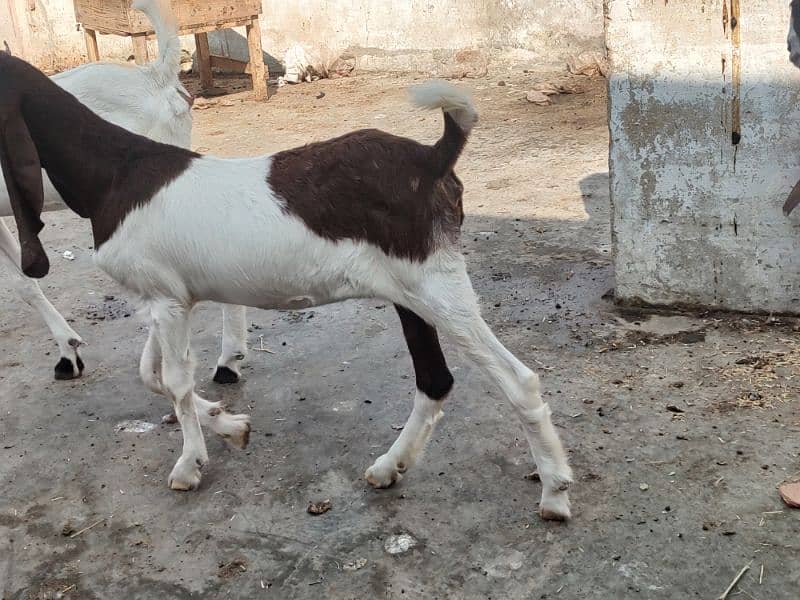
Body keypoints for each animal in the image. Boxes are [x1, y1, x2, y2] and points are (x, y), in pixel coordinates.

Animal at [1, 52, 576, 520]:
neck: (115, 172)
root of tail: (433, 157)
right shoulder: (169, 299)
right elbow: (155, 376)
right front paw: (228, 423)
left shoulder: (165, 302)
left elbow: (176, 383)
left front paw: (190, 464)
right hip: (410, 296)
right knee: (435, 380)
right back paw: (390, 466)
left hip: (437, 287)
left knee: (518, 380)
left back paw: (554, 492)